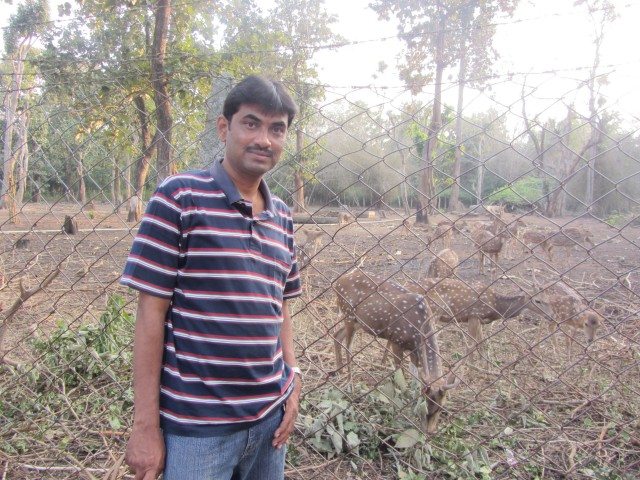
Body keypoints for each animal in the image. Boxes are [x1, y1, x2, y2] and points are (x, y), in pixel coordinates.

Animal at [333, 269, 459, 433]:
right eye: (426, 404)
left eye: (441, 407)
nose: (429, 431)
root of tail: (337, 282)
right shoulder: (396, 341)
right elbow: (401, 375)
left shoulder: (415, 350)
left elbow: (415, 377)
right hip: (349, 314)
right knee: (348, 347)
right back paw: (349, 385)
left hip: (358, 322)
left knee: (336, 335)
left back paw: (339, 371)